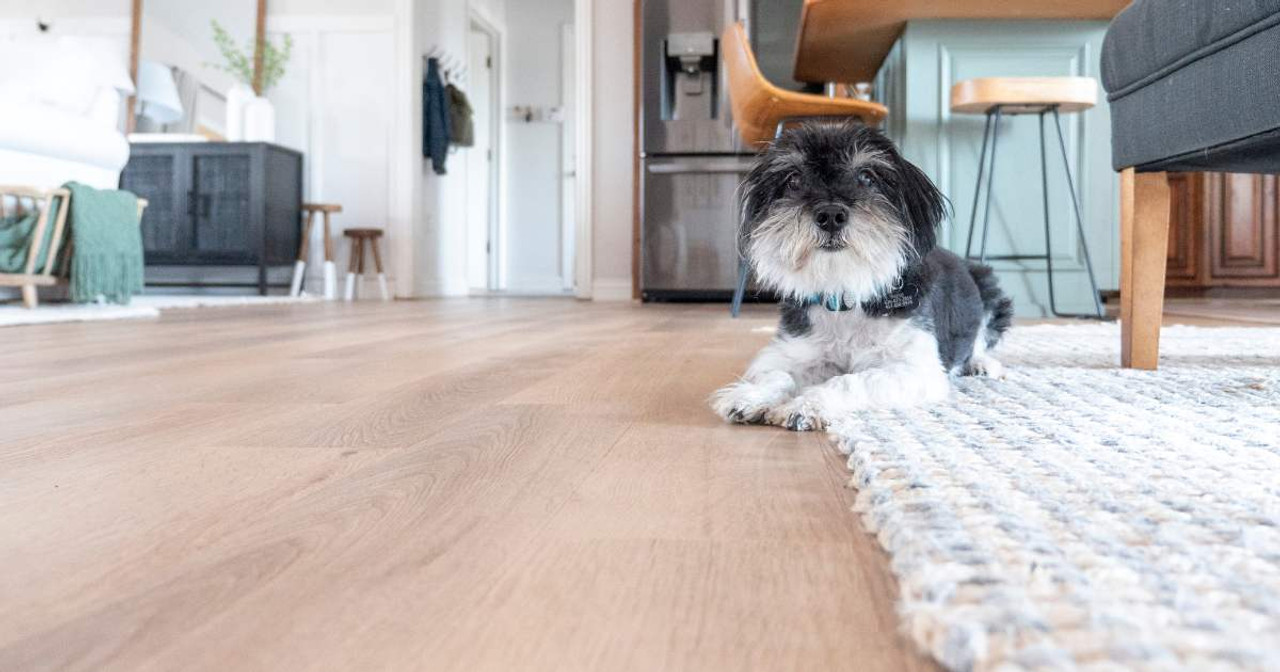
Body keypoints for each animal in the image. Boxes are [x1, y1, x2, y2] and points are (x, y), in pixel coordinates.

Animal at [711, 122, 1008, 432]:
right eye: (794, 179)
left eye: (866, 176)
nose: (831, 214)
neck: (846, 292)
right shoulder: (793, 350)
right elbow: (775, 374)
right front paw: (750, 396)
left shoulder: (915, 368)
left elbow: (850, 381)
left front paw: (807, 404)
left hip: (991, 292)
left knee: (981, 340)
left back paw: (982, 364)